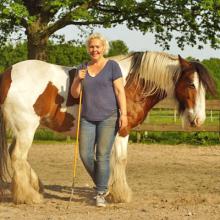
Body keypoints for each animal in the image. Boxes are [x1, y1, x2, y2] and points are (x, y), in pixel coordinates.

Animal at [0, 50, 217, 204]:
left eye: (203, 87)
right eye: (190, 84)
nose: (198, 120)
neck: (132, 84)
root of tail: (8, 74)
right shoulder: (122, 132)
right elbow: (120, 160)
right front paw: (121, 194)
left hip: (21, 129)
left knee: (14, 154)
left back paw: (35, 185)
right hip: (26, 128)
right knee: (17, 156)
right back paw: (28, 196)